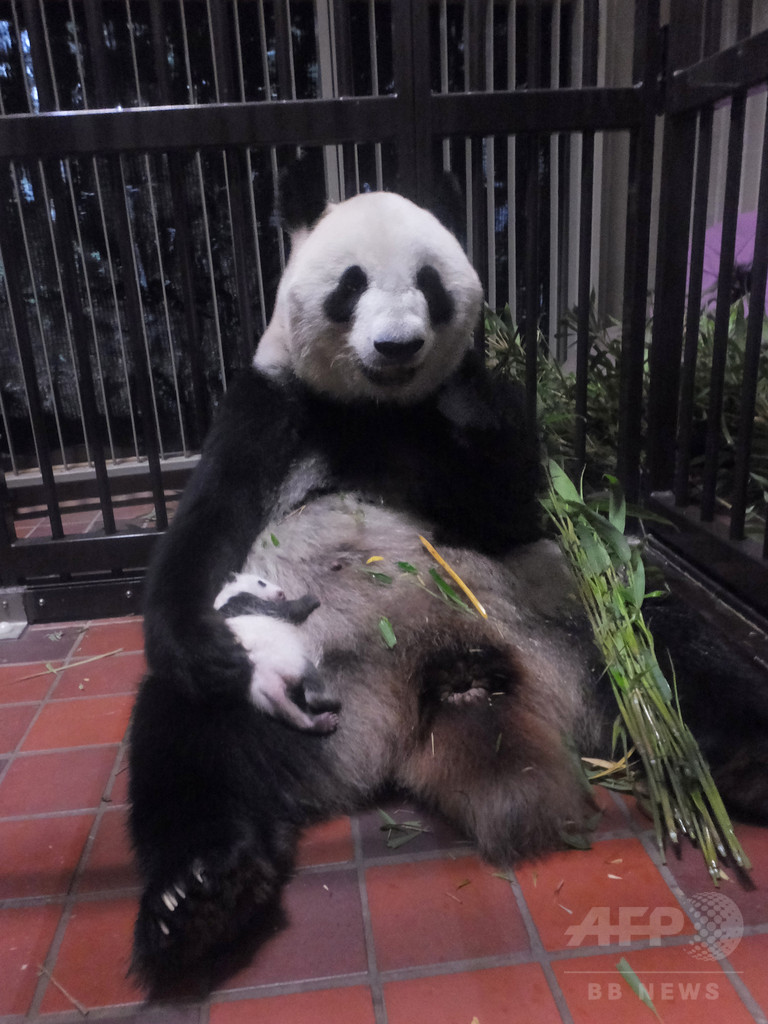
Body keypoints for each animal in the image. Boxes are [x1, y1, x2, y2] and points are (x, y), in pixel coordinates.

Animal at [128, 176, 768, 996]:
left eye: (429, 286)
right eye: (350, 286)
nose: (399, 345)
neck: (379, 410)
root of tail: (450, 675)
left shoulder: (475, 434)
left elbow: (514, 500)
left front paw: (473, 408)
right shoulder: (271, 406)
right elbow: (207, 523)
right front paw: (194, 638)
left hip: (561, 613)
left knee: (666, 643)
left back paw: (741, 759)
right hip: (318, 681)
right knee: (191, 738)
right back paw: (202, 895)